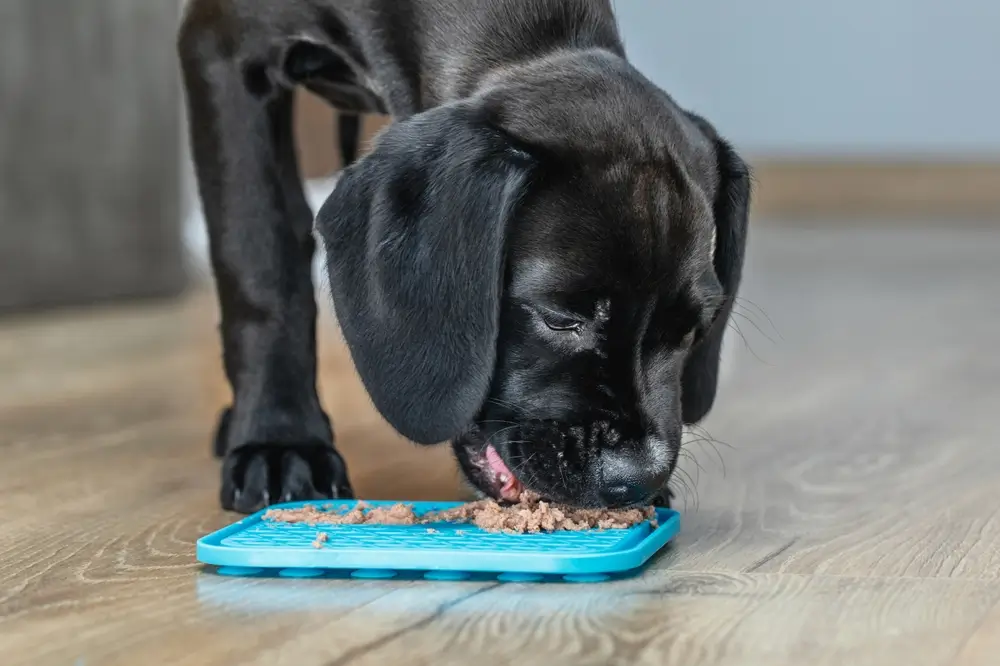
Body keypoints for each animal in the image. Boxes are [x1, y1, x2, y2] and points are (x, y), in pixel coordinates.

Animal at [178, 0, 752, 510]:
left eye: (693, 331)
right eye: (560, 318)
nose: (637, 479)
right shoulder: (226, 51)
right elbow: (263, 261)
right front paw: (280, 440)